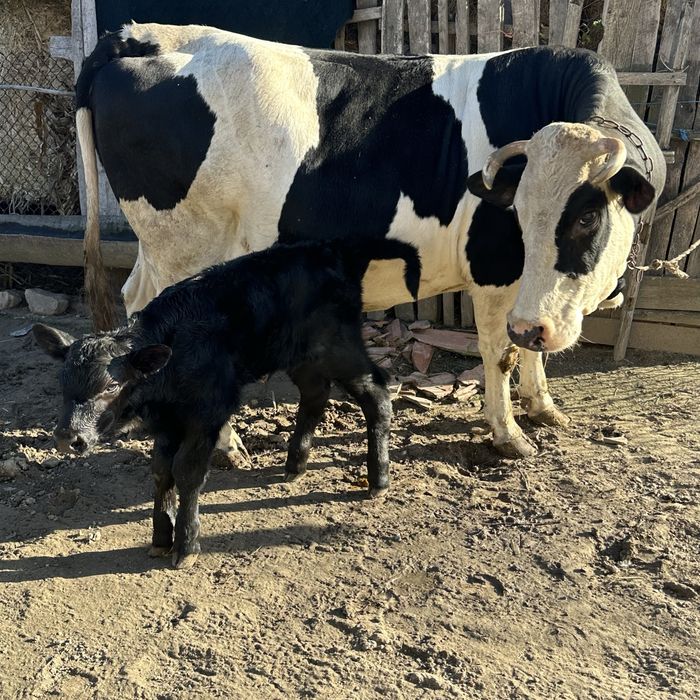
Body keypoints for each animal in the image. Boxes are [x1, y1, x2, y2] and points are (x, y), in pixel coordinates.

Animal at [33, 238, 420, 568]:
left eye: (112, 384)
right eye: (61, 381)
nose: (68, 438)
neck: (176, 349)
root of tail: (332, 250)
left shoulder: (207, 411)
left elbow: (187, 471)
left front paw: (186, 546)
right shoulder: (169, 421)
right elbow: (161, 470)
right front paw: (160, 538)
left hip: (340, 349)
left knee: (376, 393)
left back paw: (378, 480)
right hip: (300, 356)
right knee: (315, 393)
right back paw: (295, 465)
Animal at [76, 24, 664, 460]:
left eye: (586, 216)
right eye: (515, 212)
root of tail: (138, 34)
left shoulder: (528, 290)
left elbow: (526, 349)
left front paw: (543, 408)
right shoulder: (496, 270)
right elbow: (501, 352)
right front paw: (510, 436)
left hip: (160, 248)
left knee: (134, 299)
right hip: (185, 246)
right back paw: (225, 444)